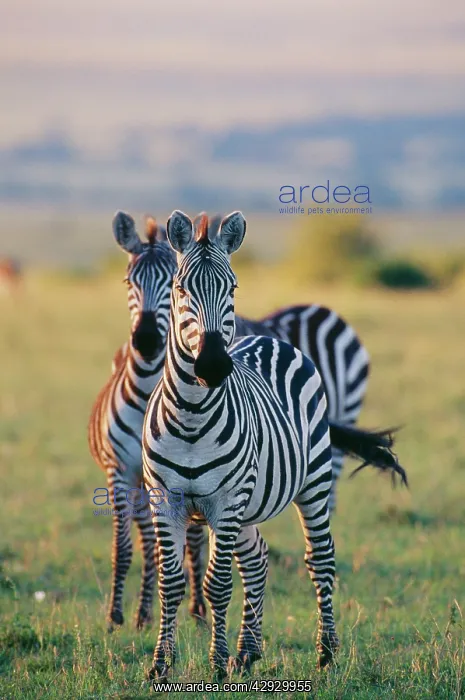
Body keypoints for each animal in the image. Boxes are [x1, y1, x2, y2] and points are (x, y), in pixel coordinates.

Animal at [88, 214, 207, 631]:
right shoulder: (120, 470)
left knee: (187, 540)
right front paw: (115, 616)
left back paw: (194, 608)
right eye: (129, 282)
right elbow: (123, 547)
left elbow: (175, 544)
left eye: (172, 282)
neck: (143, 396)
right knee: (147, 539)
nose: (146, 341)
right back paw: (143, 610)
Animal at [142, 211, 406, 680]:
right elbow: (171, 582)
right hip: (248, 505)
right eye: (181, 289)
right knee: (258, 558)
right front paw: (161, 666)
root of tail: (274, 340)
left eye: (232, 288)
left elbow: (217, 584)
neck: (191, 416)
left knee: (320, 557)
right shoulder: (165, 498)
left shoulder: (226, 501)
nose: (213, 365)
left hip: (313, 482)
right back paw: (248, 652)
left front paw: (216, 665)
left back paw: (326, 653)